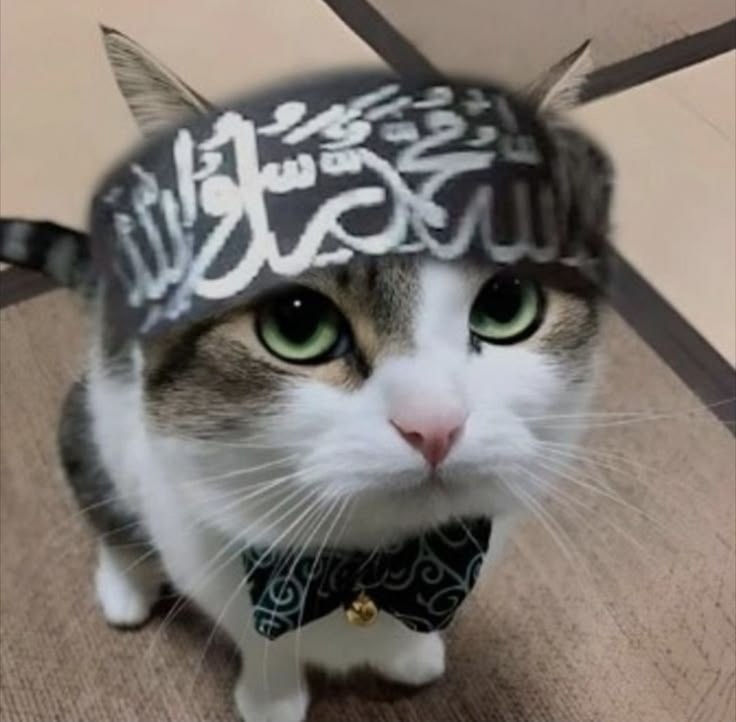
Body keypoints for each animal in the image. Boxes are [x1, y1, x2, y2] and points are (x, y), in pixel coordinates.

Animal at [0, 27, 612, 722]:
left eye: (506, 303)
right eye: (296, 323)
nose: (434, 425)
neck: (371, 568)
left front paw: (412, 651)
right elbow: (257, 638)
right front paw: (272, 697)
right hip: (93, 418)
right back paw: (125, 584)